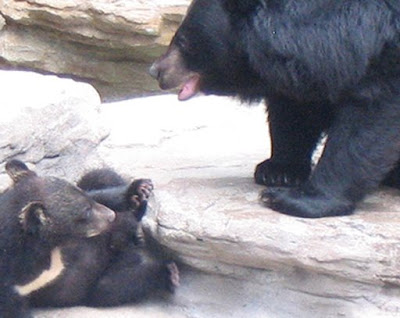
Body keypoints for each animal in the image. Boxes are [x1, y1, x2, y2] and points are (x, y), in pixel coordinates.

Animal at [149, 0, 400, 217]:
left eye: (183, 41)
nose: (156, 71)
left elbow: (369, 120)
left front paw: (292, 199)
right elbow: (295, 112)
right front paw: (278, 172)